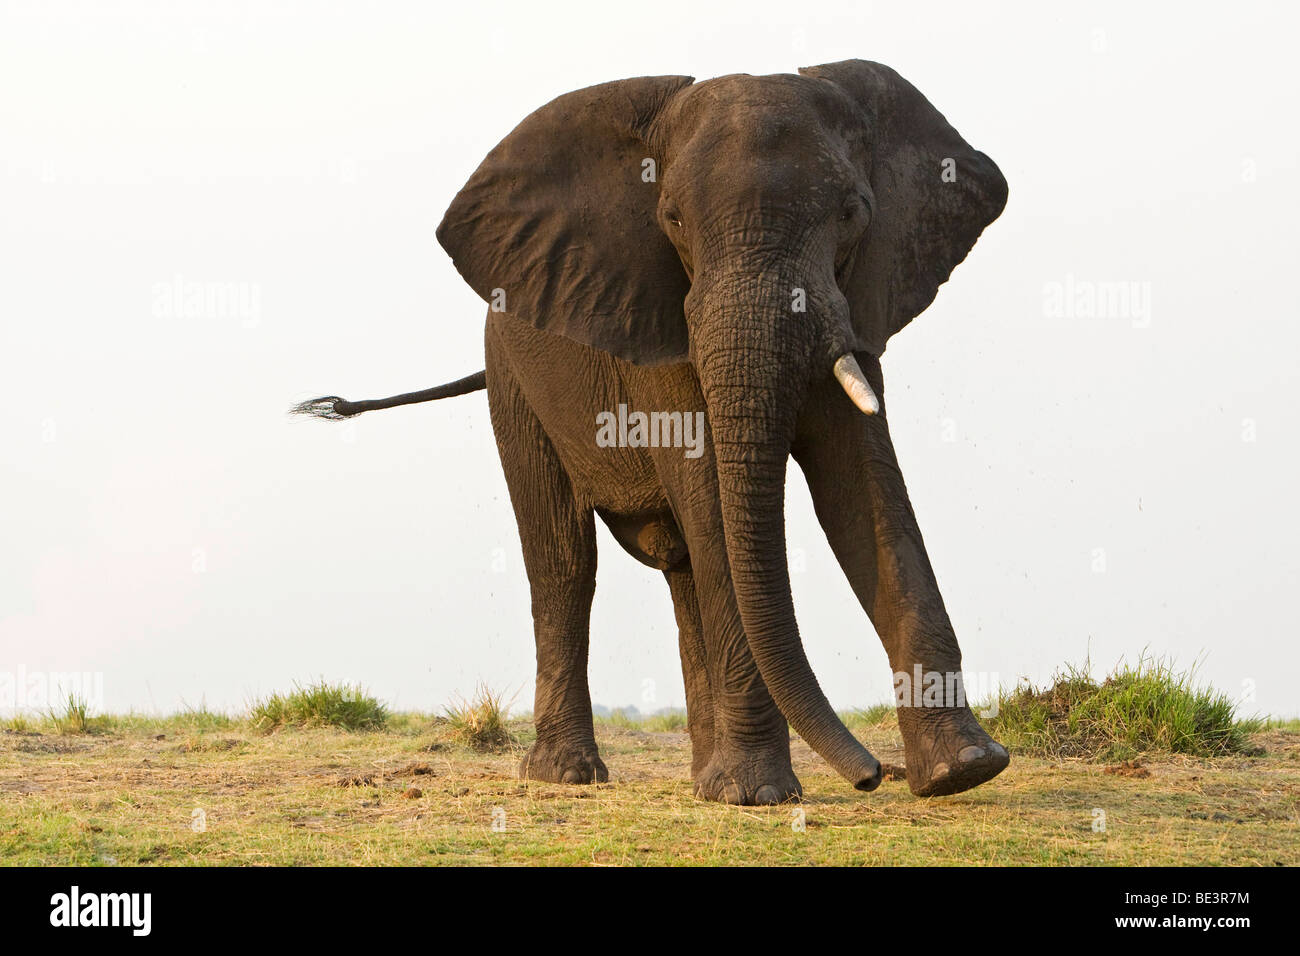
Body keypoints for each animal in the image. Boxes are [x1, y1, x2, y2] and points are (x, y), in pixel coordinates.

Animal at [297, 59, 1013, 806]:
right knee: (565, 560)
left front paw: (964, 771)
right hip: (512, 378)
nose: (872, 775)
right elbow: (711, 495)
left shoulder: (858, 298)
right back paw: (570, 775)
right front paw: (760, 796)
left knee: (680, 561)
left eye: (852, 214)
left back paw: (706, 779)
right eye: (672, 220)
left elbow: (863, 486)